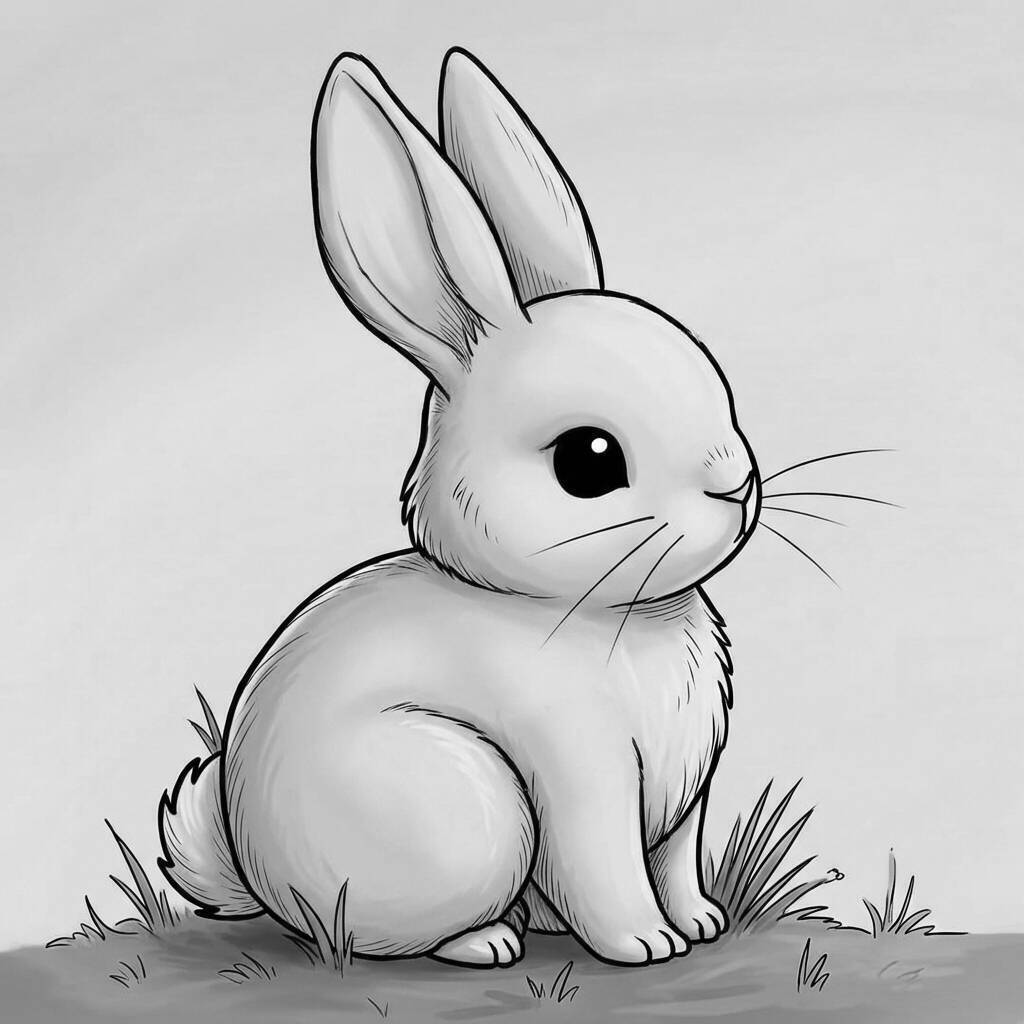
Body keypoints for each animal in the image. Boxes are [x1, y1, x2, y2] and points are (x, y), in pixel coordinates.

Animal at [158, 47, 762, 969]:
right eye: (589, 460)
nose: (737, 484)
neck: (590, 609)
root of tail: (263, 878)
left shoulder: (684, 806)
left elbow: (677, 865)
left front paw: (699, 923)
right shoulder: (582, 778)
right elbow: (608, 871)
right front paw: (646, 945)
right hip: (469, 811)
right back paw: (488, 941)